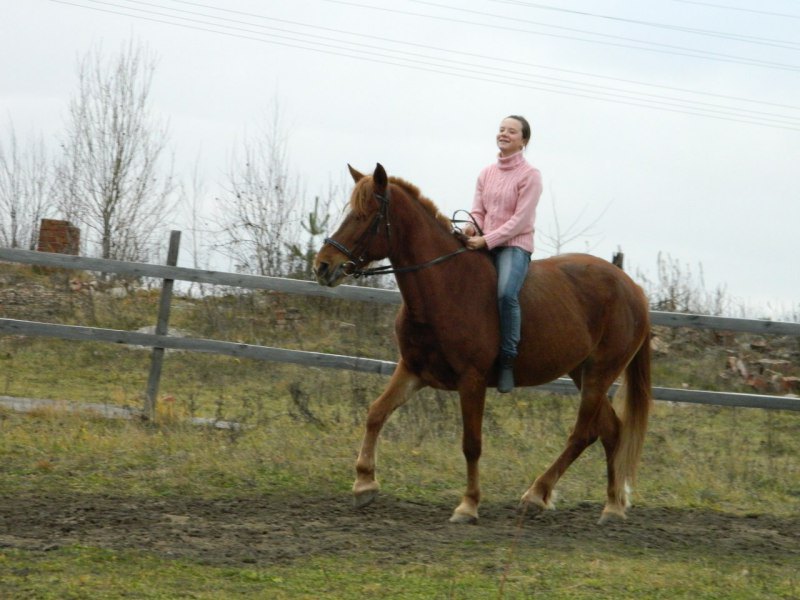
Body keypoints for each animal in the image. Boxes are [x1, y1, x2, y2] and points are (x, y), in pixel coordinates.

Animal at [312, 162, 648, 524]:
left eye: (365, 216)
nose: (323, 266)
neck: (444, 285)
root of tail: (632, 288)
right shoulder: (413, 370)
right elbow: (375, 413)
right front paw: (364, 484)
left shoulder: (471, 380)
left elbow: (471, 443)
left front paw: (468, 505)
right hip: (581, 373)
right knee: (611, 430)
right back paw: (612, 506)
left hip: (600, 373)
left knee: (583, 434)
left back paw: (536, 495)